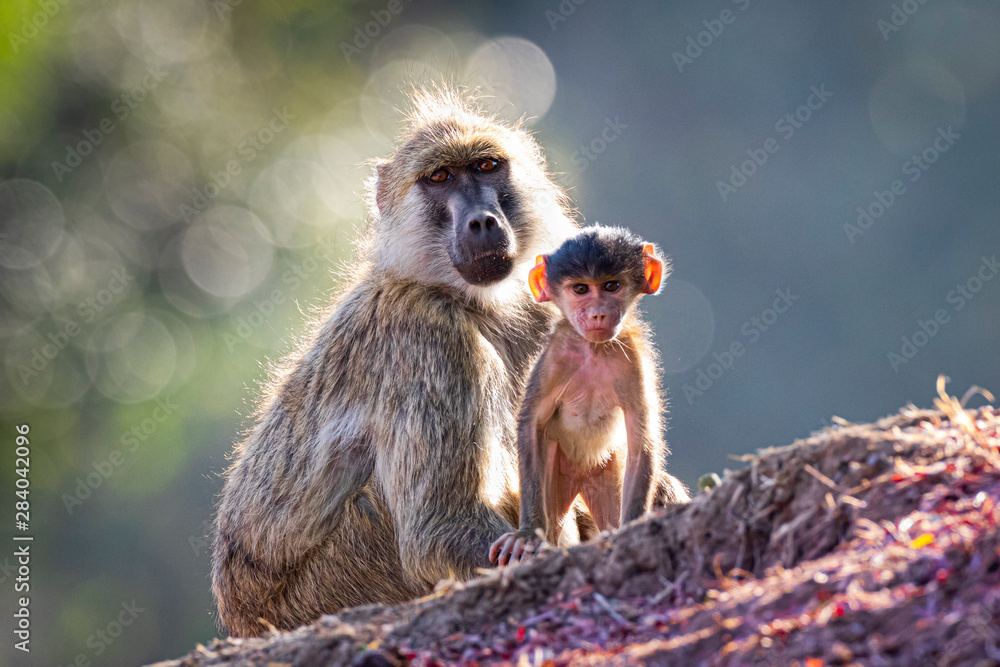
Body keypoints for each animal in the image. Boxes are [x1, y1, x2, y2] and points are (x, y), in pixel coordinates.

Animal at [211, 88, 581, 637]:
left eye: (487, 166)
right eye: (440, 177)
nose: (482, 221)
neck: (465, 297)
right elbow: (437, 529)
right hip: (344, 578)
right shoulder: (427, 336)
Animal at [490, 226, 690, 567]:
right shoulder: (554, 357)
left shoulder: (632, 360)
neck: (593, 349)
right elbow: (531, 423)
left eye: (611, 286)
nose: (597, 315)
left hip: (607, 471)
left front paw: (630, 531)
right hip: (557, 469)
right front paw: (527, 535)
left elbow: (641, 438)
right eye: (580, 289)